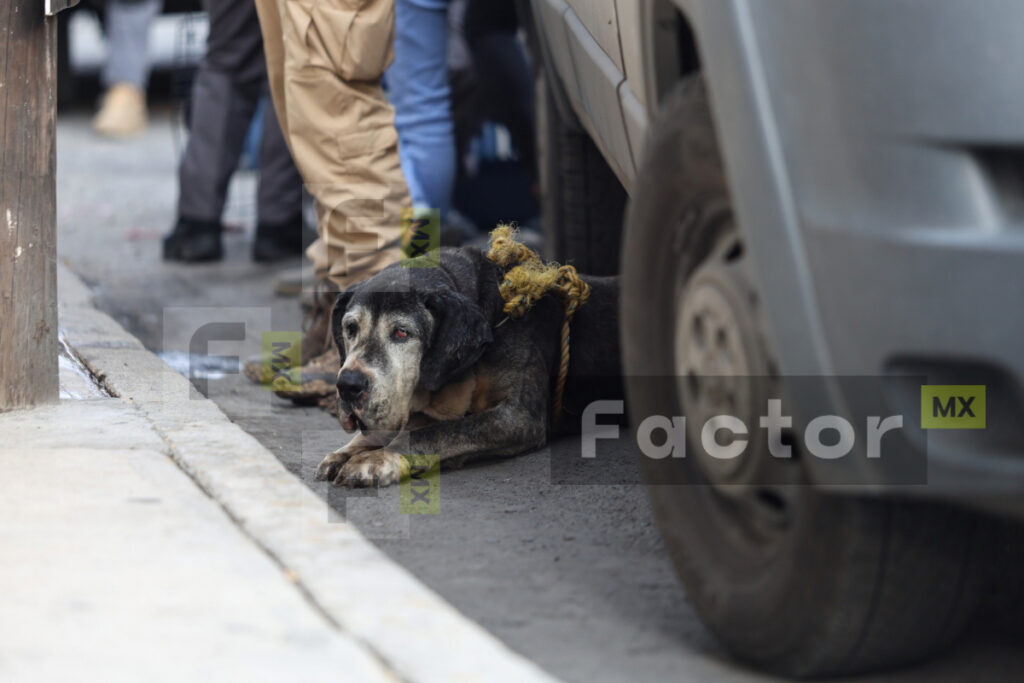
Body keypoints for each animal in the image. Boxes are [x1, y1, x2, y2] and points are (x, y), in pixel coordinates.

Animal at [311, 244, 618, 485]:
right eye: (351, 328)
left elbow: (437, 432)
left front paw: (376, 459)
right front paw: (347, 452)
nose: (348, 385)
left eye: (401, 333)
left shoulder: (517, 417)